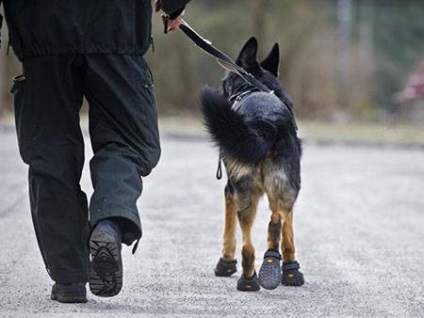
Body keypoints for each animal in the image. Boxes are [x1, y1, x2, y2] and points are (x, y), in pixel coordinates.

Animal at [201, 36, 304, 290]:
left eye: (224, 83)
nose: (219, 92)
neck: (253, 88)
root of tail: (267, 121)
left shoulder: (229, 190)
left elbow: (229, 230)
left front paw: (225, 263)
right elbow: (289, 236)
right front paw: (291, 271)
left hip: (246, 192)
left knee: (251, 242)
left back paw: (248, 279)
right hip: (284, 189)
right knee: (274, 224)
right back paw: (271, 270)